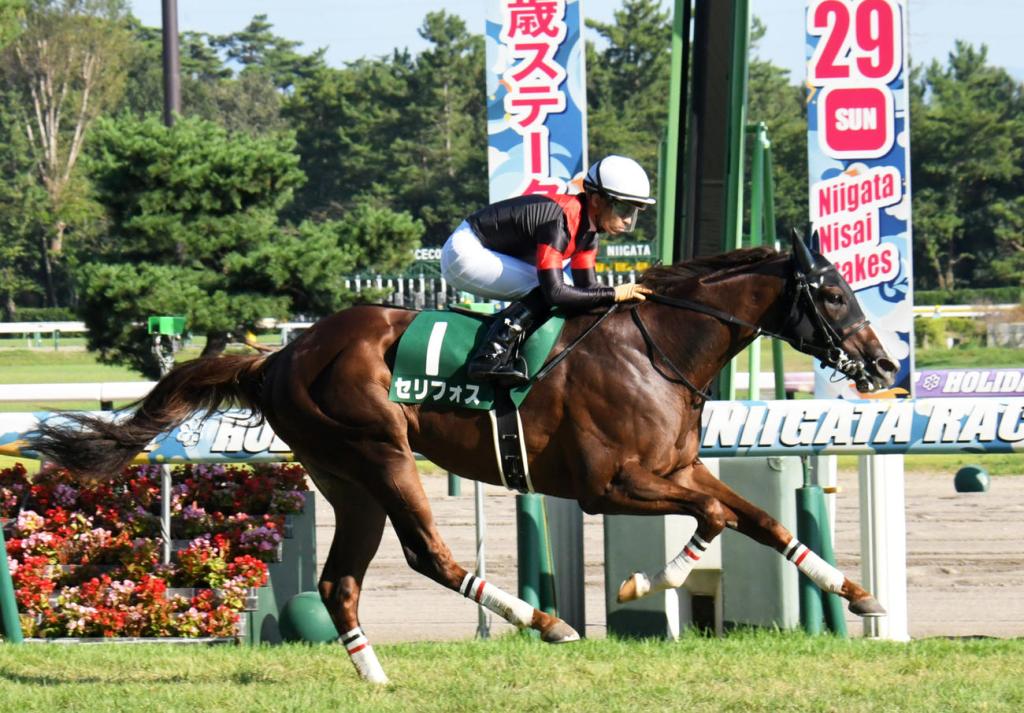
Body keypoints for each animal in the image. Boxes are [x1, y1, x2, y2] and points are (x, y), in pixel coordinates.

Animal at [30, 232, 898, 683]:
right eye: (834, 292)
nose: (884, 364)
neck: (657, 344)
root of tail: (281, 354)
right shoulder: (611, 482)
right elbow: (717, 513)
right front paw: (645, 582)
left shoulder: (677, 468)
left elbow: (756, 518)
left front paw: (857, 592)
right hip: (381, 453)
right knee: (430, 555)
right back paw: (544, 620)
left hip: (347, 480)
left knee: (340, 581)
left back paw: (375, 677)